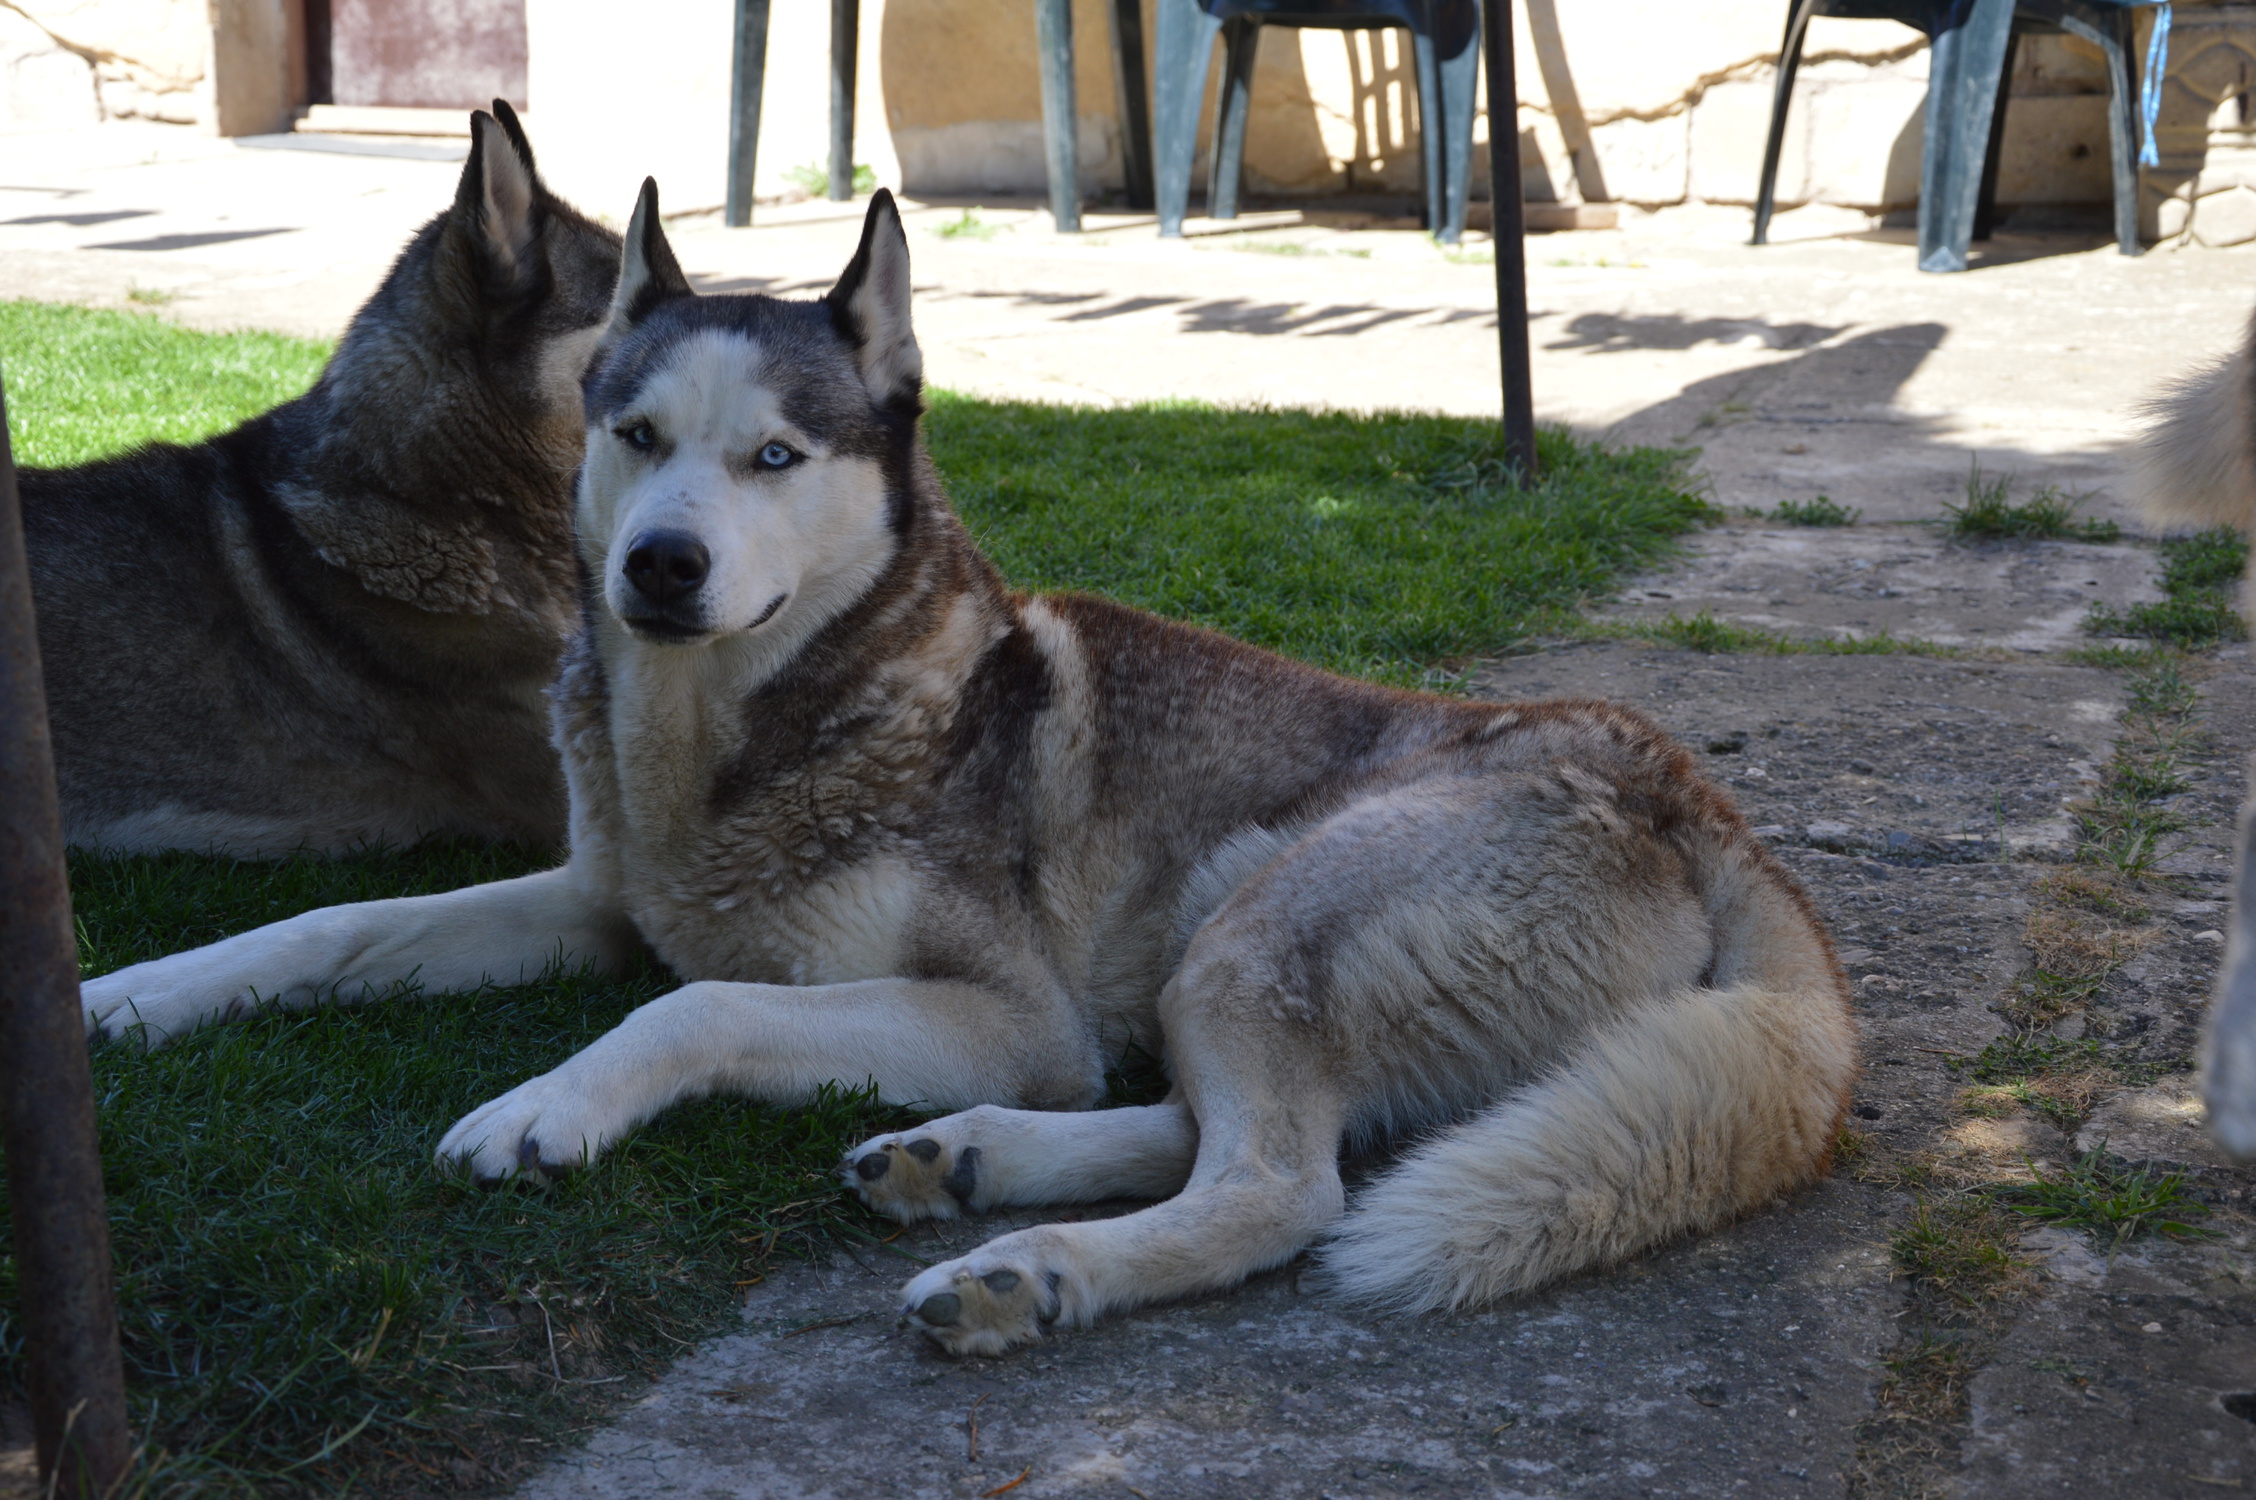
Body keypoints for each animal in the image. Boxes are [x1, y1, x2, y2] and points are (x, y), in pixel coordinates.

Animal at [80, 185, 1859, 1354]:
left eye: (774, 457)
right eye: (636, 435)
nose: (659, 568)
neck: (745, 738)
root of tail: (1693, 790)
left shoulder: (1007, 1008)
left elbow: (695, 1005)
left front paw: (544, 1111)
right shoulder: (594, 899)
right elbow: (331, 929)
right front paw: (130, 994)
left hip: (1254, 923)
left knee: (1282, 1185)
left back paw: (1030, 1270)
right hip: (1220, 954)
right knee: (1228, 1129)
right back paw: (968, 1163)